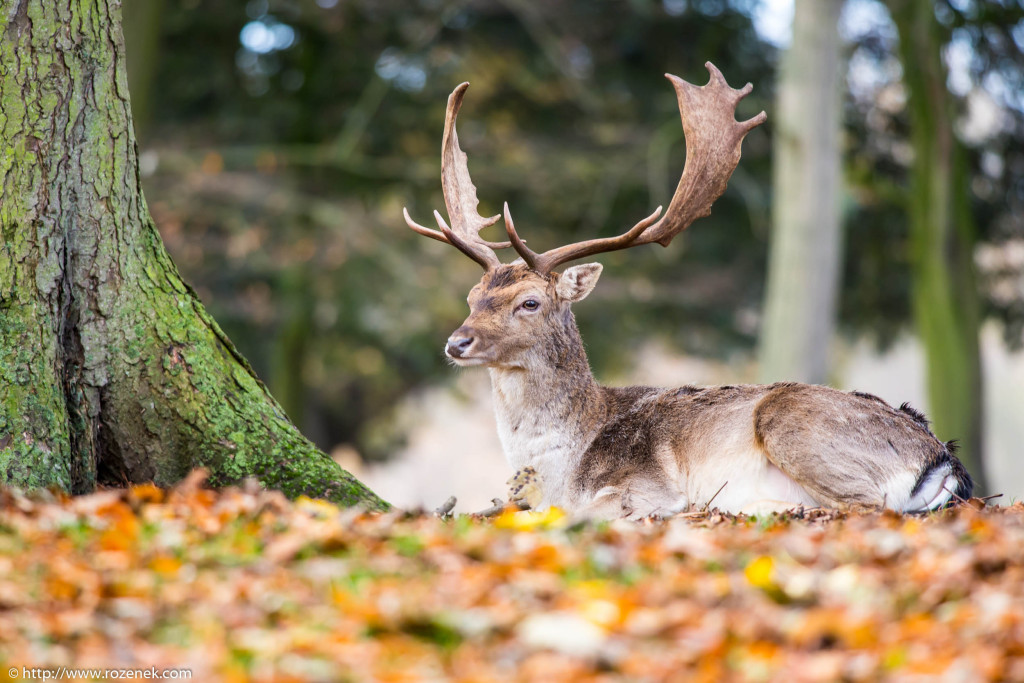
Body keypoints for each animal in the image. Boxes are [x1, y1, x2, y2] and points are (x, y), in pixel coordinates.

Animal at [399, 63, 966, 520]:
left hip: (791, 423)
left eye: (529, 303)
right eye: (472, 297)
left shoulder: (641, 487)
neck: (564, 464)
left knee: (866, 506)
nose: (457, 342)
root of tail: (942, 458)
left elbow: (589, 511)